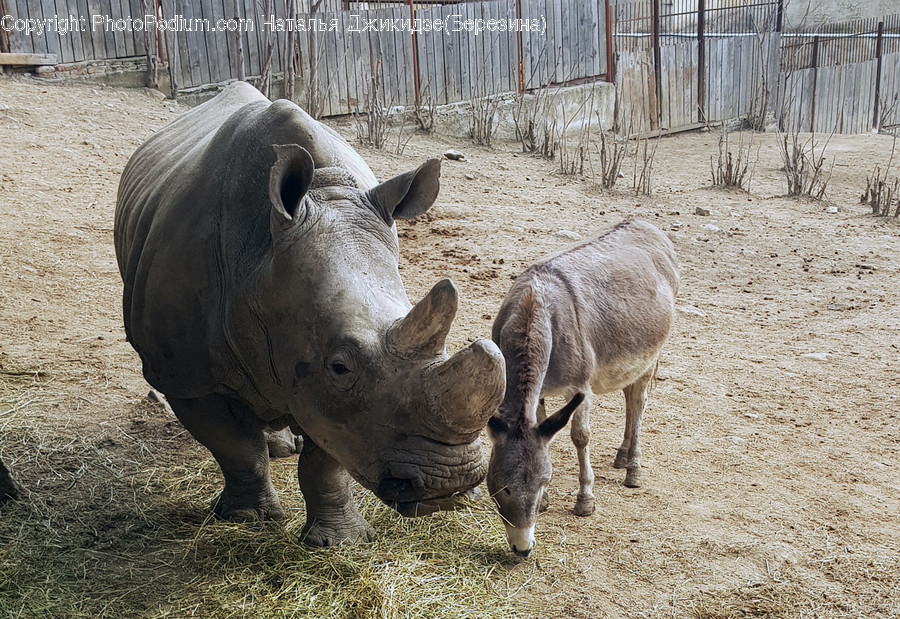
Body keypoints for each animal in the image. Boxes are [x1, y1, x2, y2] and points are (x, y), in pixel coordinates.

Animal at [114, 82, 506, 546]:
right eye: (340, 366)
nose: (451, 484)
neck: (259, 264)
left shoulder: (335, 402)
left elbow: (327, 461)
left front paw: (340, 541)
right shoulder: (185, 376)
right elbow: (236, 448)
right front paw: (247, 519)